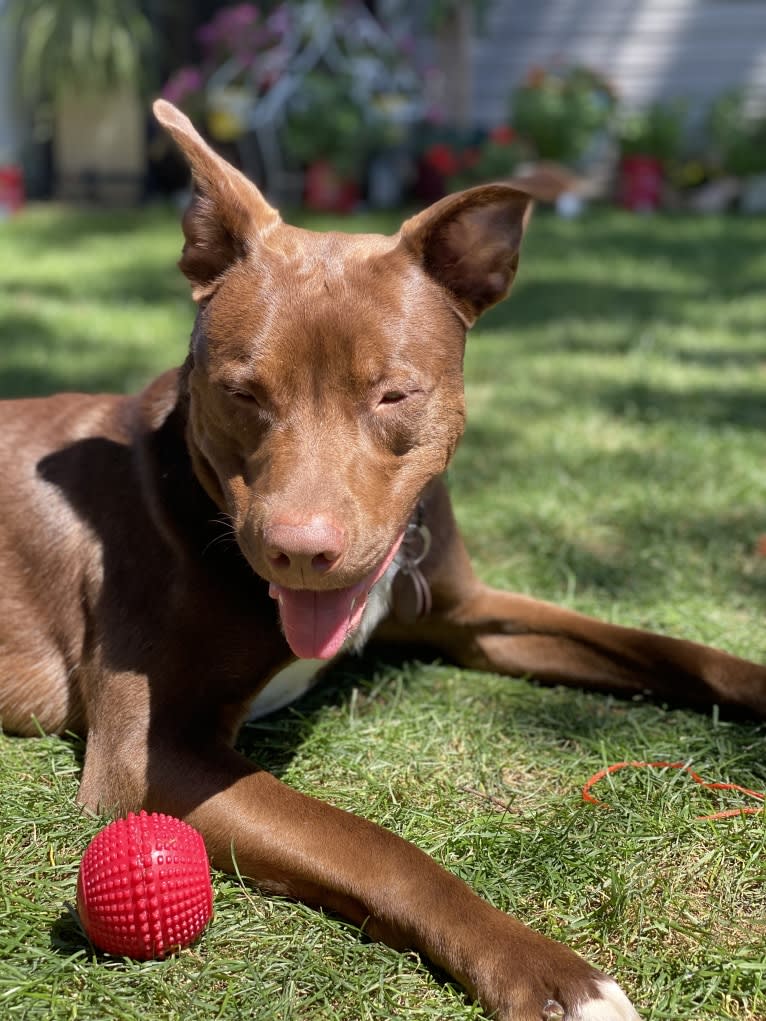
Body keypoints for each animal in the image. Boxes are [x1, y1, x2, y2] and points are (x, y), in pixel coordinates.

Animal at [3, 97, 763, 1021]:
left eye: (394, 394)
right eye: (242, 392)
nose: (301, 550)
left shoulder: (470, 615)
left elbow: (668, 649)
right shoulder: (147, 758)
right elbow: (372, 845)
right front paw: (548, 972)